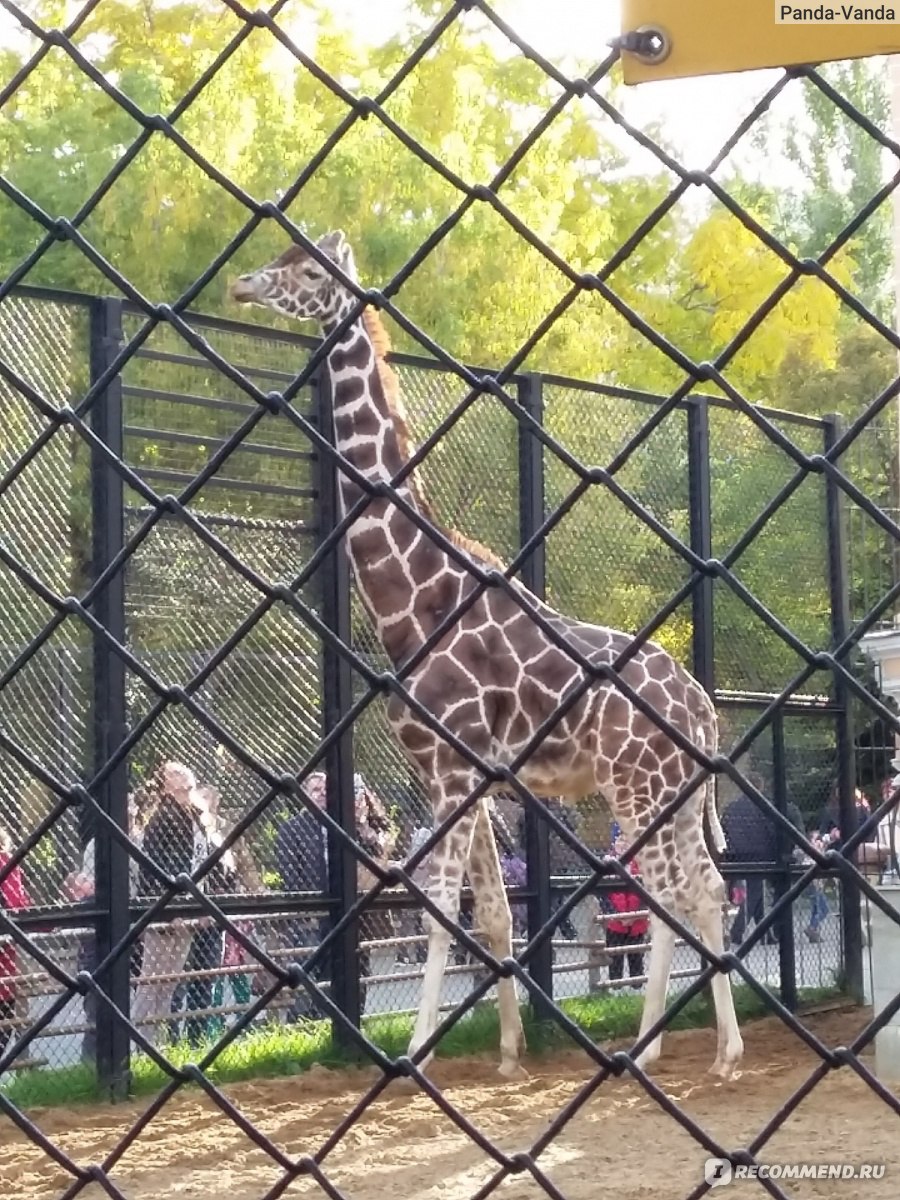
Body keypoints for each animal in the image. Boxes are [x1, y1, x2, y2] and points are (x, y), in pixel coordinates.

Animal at [229, 229, 744, 1084]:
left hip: (638, 789)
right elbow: (496, 915)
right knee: (703, 887)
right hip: (666, 796)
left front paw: (415, 1051)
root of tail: (704, 709)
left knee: (678, 893)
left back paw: (674, 1046)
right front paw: (507, 1050)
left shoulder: (453, 767)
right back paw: (703, 1047)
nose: (241, 284)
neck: (416, 597)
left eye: (305, 266)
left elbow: (441, 911)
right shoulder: (460, 776)